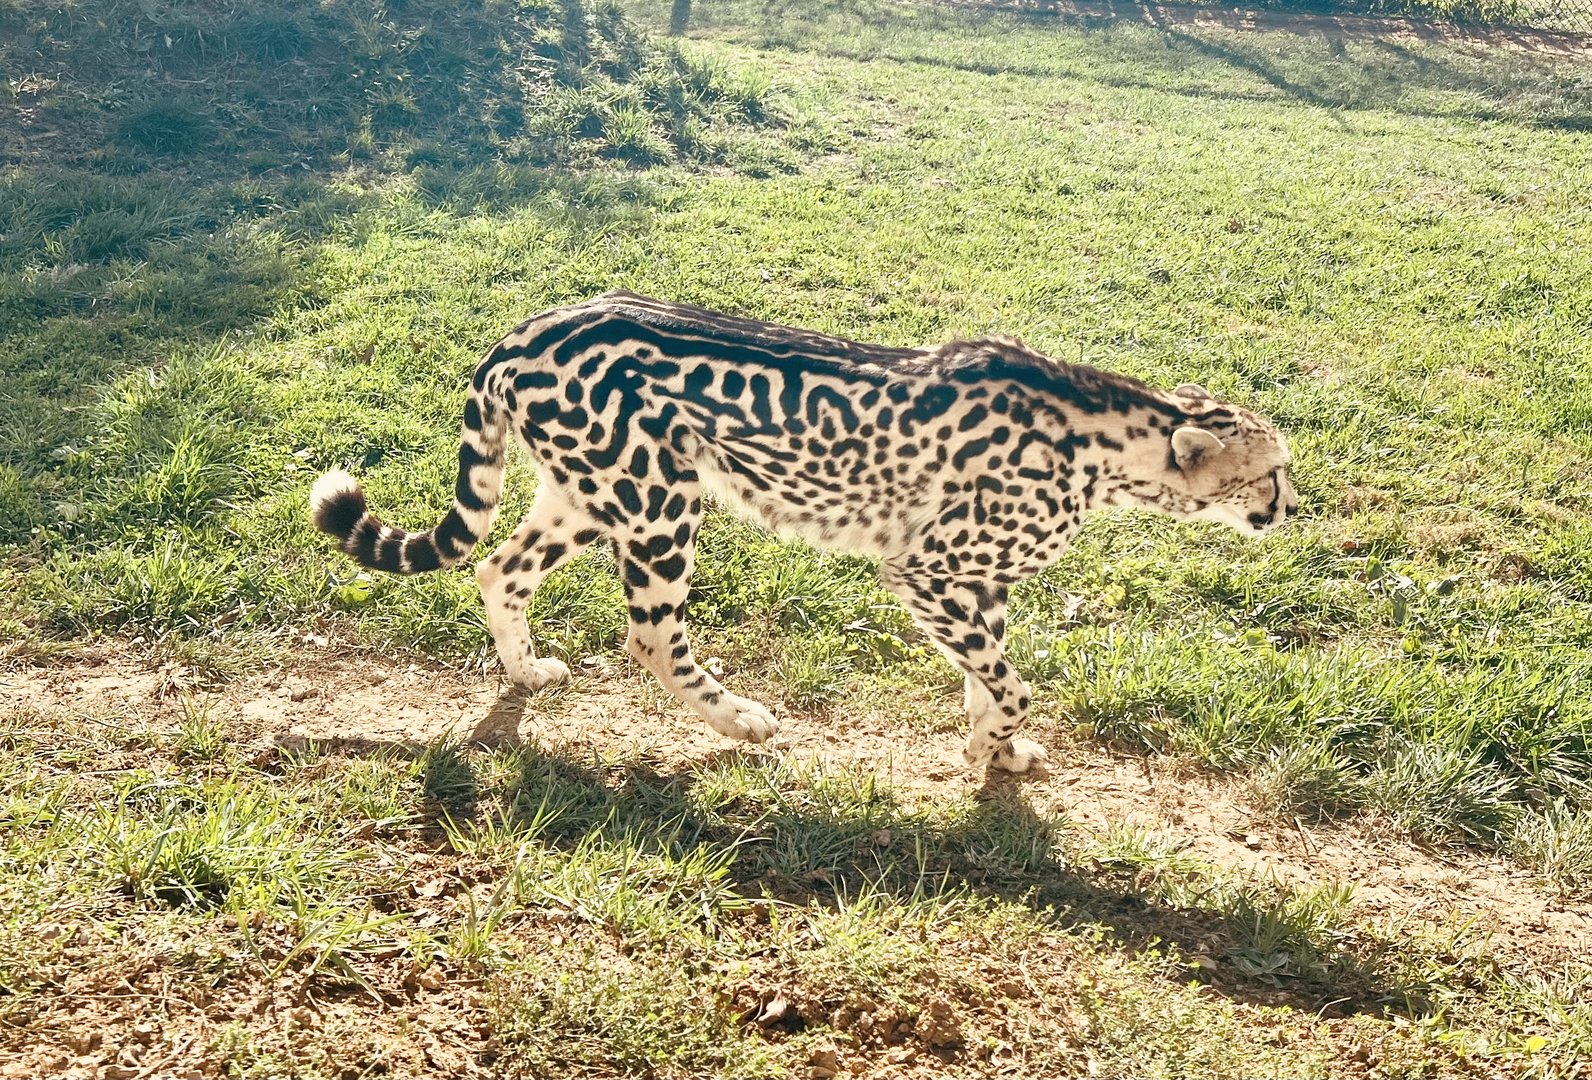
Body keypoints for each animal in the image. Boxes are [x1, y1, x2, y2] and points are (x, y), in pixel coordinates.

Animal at [310, 291, 1296, 775]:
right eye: (1273, 470)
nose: (1291, 509)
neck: (1112, 439)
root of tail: (531, 328)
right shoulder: (925, 570)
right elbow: (1012, 685)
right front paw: (985, 750)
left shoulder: (977, 583)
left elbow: (990, 678)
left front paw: (998, 749)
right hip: (658, 501)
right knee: (651, 636)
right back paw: (740, 720)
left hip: (588, 495)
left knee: (498, 569)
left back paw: (523, 670)